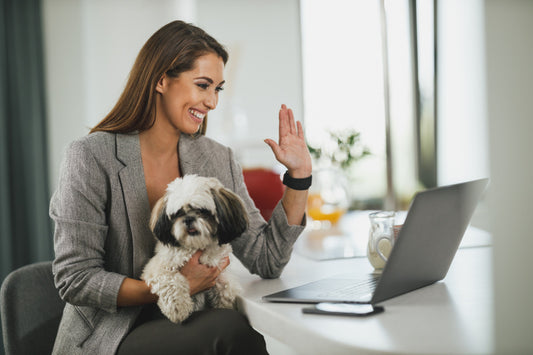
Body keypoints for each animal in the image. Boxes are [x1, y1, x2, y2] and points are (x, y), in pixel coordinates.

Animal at [141, 174, 249, 324]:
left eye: (202, 211)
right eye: (178, 213)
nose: (188, 219)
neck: (195, 246)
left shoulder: (218, 271)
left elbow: (226, 288)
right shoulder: (156, 268)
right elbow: (172, 282)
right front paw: (178, 308)